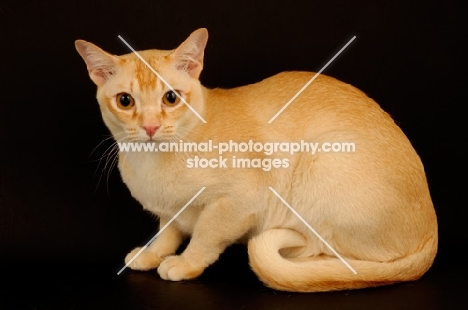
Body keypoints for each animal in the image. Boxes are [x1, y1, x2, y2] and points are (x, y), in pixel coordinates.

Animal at [75, 27, 436, 292]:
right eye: (125, 101)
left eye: (171, 98)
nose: (149, 127)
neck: (151, 163)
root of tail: (433, 230)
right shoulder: (169, 211)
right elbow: (167, 232)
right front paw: (152, 254)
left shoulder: (240, 201)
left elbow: (206, 233)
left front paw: (185, 263)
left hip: (322, 160)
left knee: (336, 255)